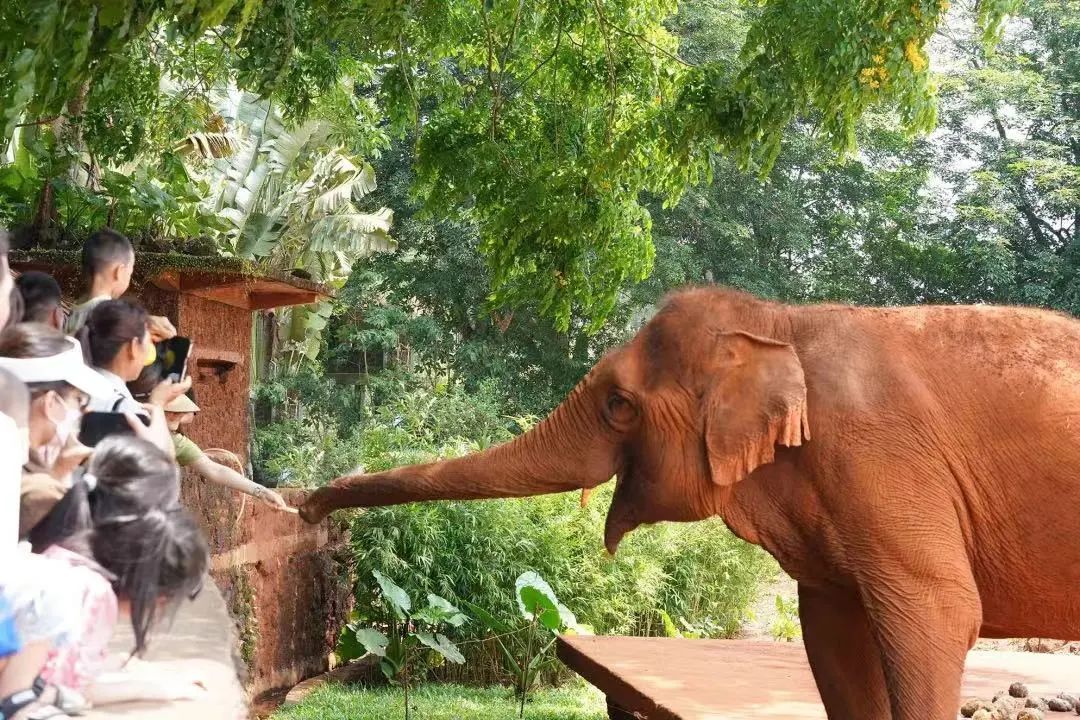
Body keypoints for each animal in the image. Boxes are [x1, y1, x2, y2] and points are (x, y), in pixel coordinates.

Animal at [300, 287, 1080, 720]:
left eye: (618, 405)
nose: (309, 507)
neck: (782, 322)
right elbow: (832, 630)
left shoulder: (881, 459)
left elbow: (941, 611)